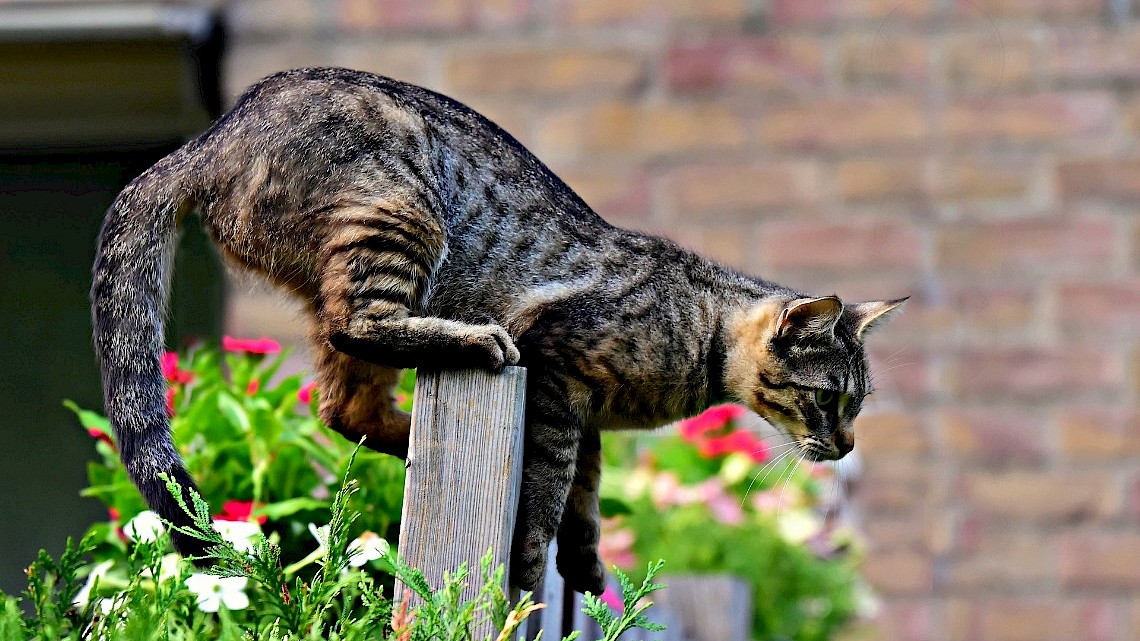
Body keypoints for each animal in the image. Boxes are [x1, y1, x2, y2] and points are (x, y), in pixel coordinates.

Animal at [91, 67, 907, 593]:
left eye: (857, 405)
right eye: (829, 399)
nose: (846, 445)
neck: (698, 334)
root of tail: (207, 139)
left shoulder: (585, 415)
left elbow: (585, 491)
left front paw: (585, 563)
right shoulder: (558, 375)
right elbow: (549, 491)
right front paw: (530, 564)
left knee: (343, 406)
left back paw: (410, 441)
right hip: (398, 214)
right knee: (362, 328)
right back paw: (475, 343)